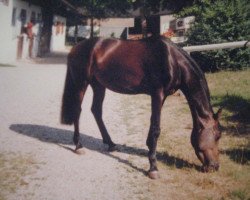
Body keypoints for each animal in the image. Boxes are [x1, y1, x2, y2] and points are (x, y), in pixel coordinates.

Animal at [61, 36, 223, 180]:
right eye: (217, 136)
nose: (215, 166)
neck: (173, 60)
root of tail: (76, 47)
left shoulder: (161, 96)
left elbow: (153, 125)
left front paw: (149, 148)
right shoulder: (157, 93)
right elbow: (156, 129)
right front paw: (153, 168)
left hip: (99, 85)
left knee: (96, 110)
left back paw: (111, 144)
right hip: (81, 83)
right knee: (77, 110)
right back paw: (79, 146)